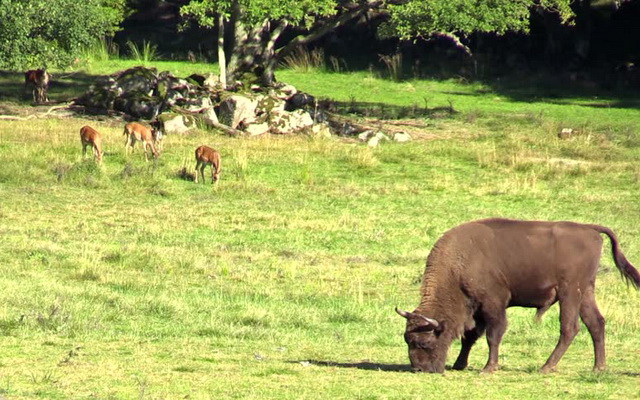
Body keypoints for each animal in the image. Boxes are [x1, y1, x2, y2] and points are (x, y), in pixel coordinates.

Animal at [396, 217, 640, 374]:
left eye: (424, 342)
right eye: (407, 339)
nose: (419, 369)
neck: (460, 263)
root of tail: (590, 230)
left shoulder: (493, 305)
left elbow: (493, 335)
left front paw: (488, 368)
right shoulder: (475, 310)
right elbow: (470, 336)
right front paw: (459, 364)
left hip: (569, 292)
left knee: (570, 328)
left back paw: (546, 367)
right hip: (585, 292)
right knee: (596, 323)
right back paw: (598, 368)